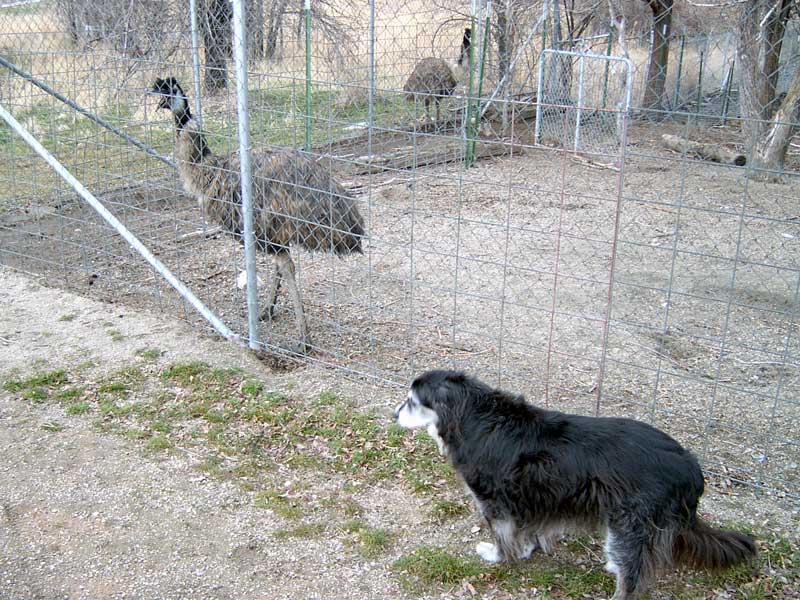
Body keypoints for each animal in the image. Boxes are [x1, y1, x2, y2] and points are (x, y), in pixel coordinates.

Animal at [394, 370, 757, 600]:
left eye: (412, 401)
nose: (395, 414)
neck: (471, 414)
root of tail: (690, 466)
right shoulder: (531, 498)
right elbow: (528, 530)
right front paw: (526, 551)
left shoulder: (494, 503)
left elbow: (503, 537)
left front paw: (499, 556)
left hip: (629, 525)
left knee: (631, 582)